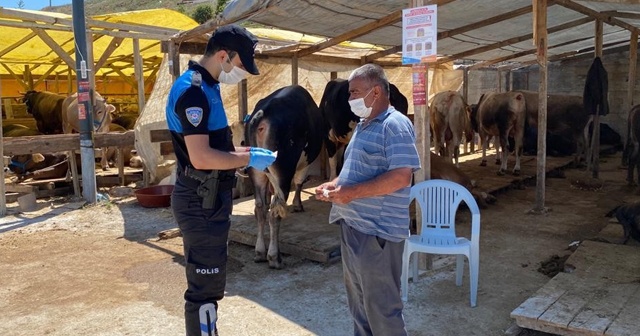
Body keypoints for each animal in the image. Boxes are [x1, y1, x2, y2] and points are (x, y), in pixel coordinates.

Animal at [244, 85, 328, 270]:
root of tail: (262, 114)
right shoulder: (305, 163)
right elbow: (299, 182)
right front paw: (298, 204)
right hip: (283, 170)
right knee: (275, 212)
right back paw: (274, 257)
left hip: (256, 172)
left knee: (260, 209)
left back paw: (259, 252)